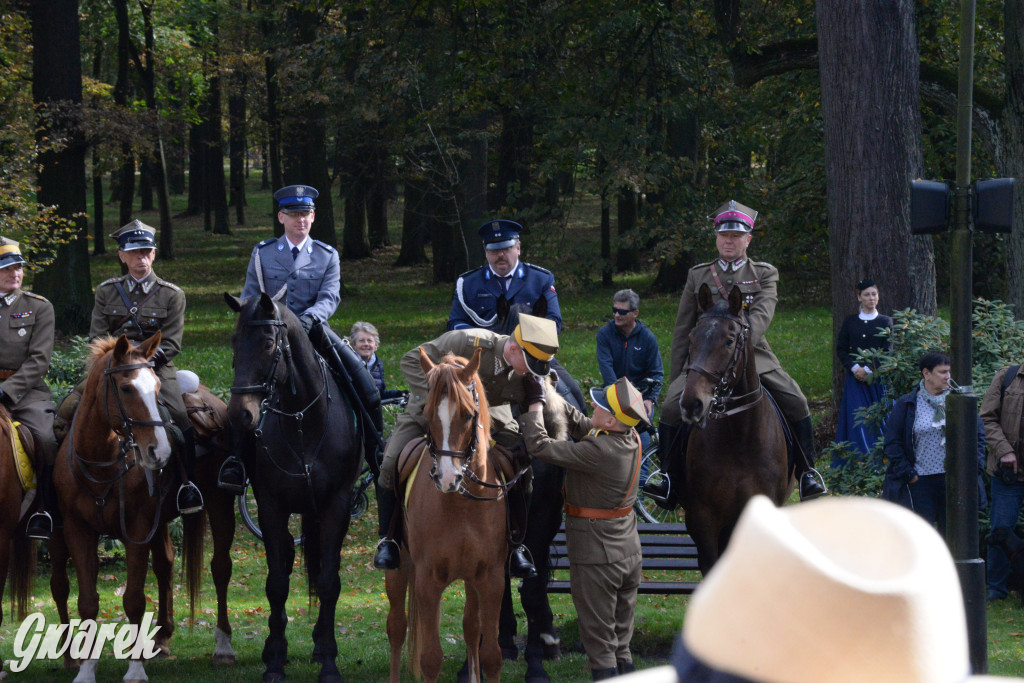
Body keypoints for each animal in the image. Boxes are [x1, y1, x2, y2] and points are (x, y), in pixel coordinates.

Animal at [52, 333, 236, 679]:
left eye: (157, 387)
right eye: (126, 388)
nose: (159, 451)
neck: (102, 462)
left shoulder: (136, 528)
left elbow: (134, 599)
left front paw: (135, 670)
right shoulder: (78, 530)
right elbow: (87, 600)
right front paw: (86, 669)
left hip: (221, 503)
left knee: (220, 567)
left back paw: (223, 647)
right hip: (161, 520)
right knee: (165, 563)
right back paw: (161, 639)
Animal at [226, 294, 362, 683]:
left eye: (268, 344)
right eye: (234, 343)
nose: (239, 415)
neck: (303, 420)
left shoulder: (336, 506)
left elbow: (329, 581)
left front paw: (329, 662)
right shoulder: (271, 507)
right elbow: (276, 583)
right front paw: (274, 662)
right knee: (286, 559)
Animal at [385, 350, 507, 679]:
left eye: (467, 415)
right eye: (427, 415)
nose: (447, 478)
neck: (461, 504)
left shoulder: (490, 578)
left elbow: (490, 654)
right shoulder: (428, 579)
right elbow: (430, 658)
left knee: (471, 629)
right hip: (399, 567)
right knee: (396, 629)